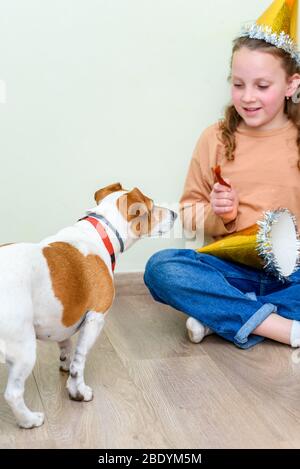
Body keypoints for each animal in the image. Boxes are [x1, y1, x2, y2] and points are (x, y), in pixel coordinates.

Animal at [0, 183, 176, 428]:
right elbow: (79, 362)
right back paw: (29, 420)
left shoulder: (64, 317)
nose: (175, 214)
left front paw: (65, 362)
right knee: (13, 393)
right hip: (23, 349)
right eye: (151, 206)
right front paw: (78, 391)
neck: (101, 233)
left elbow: (66, 346)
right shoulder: (96, 318)